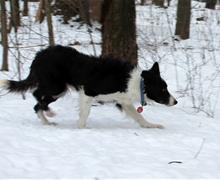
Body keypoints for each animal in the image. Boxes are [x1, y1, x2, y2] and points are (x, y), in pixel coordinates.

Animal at [0, 45, 177, 129]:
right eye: (163, 89)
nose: (175, 102)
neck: (137, 82)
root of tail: (39, 56)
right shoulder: (88, 91)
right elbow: (84, 115)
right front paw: (82, 128)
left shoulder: (123, 101)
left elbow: (139, 117)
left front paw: (151, 125)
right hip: (57, 87)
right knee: (36, 96)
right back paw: (49, 113)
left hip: (57, 89)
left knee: (37, 104)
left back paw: (46, 122)